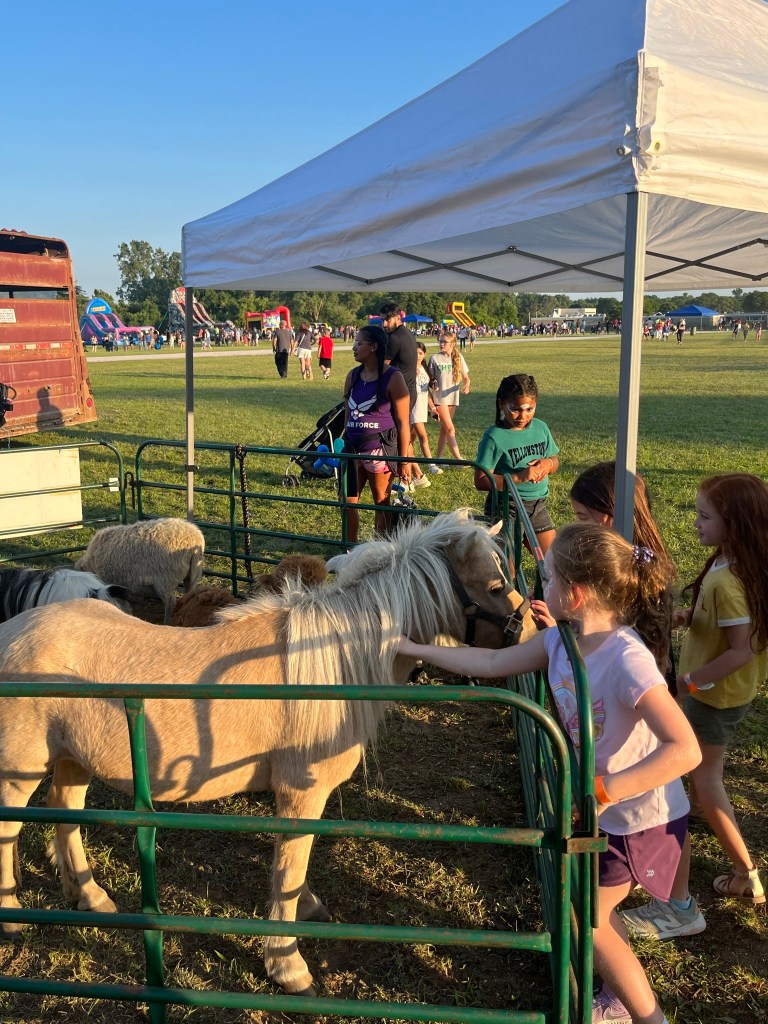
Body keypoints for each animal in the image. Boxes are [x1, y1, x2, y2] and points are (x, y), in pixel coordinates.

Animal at [76, 518, 204, 624]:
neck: (91, 563)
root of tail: (193, 539)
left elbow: (123, 604)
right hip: (192, 575)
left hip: (165, 580)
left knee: (170, 603)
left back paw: (167, 622)